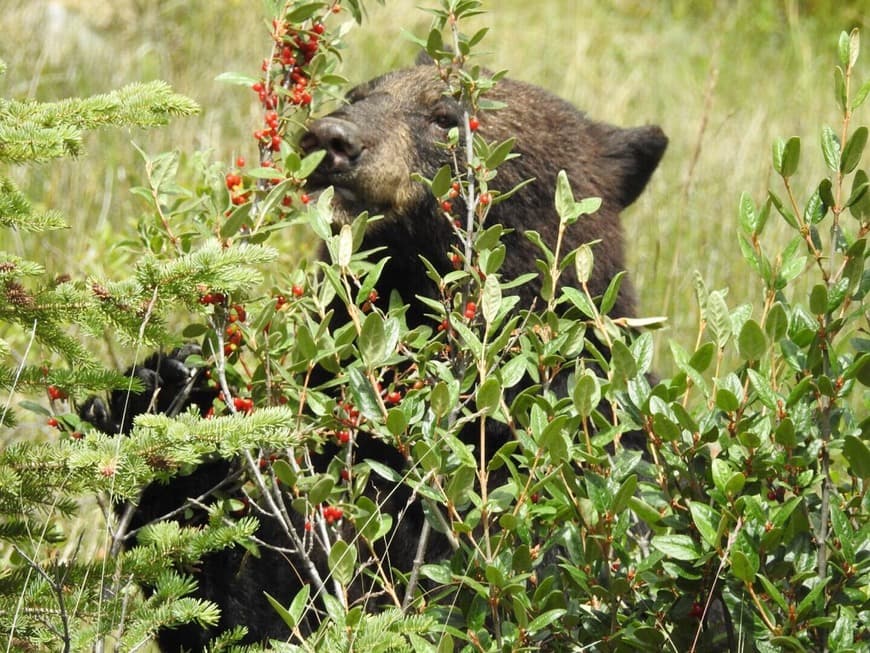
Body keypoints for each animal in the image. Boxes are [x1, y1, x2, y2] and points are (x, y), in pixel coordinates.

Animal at [82, 58, 668, 648]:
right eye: (356, 95)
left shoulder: (583, 479)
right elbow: (254, 607)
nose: (330, 139)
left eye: (447, 116)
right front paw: (158, 410)